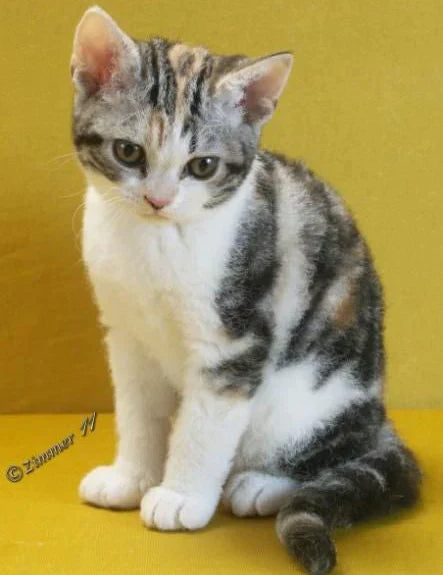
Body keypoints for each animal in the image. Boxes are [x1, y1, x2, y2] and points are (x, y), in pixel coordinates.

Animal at [71, 5, 422, 575]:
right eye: (127, 151)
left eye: (203, 165)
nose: (158, 199)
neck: (156, 241)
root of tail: (379, 419)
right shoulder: (126, 334)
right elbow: (138, 409)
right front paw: (131, 477)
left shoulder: (234, 341)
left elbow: (202, 427)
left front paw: (181, 496)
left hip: (305, 402)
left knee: (328, 457)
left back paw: (261, 486)